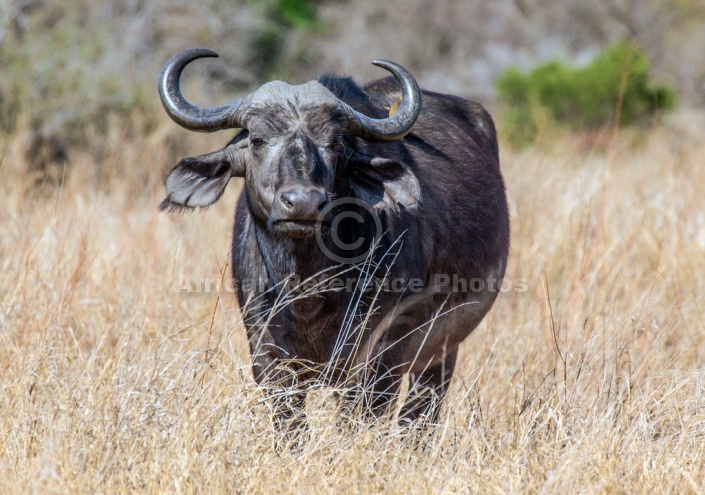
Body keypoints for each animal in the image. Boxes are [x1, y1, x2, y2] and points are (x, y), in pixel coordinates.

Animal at [157, 50, 508, 428]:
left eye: (335, 144)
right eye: (257, 140)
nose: (303, 203)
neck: (306, 289)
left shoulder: (378, 356)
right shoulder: (267, 356)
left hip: (440, 352)